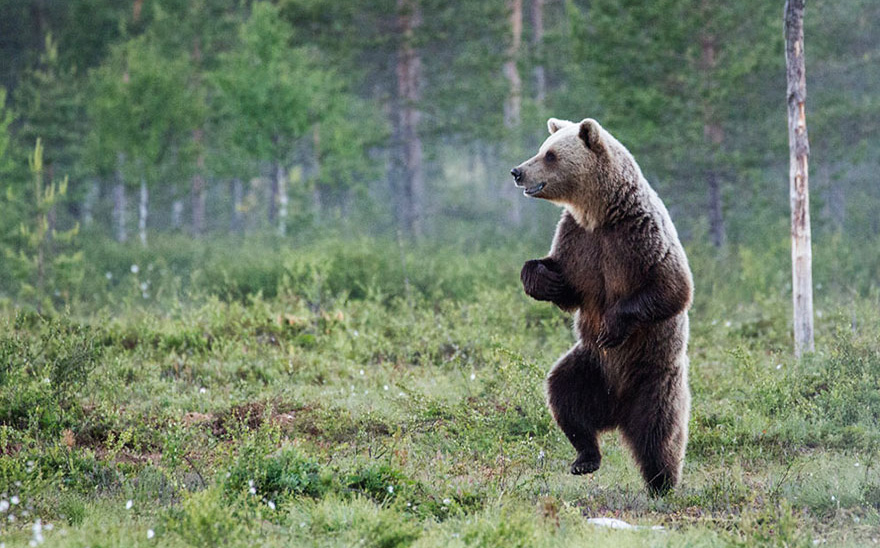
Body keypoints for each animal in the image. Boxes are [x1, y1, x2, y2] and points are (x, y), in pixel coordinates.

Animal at [508, 116, 696, 496]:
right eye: (542, 149)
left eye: (550, 155)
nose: (517, 171)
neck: (599, 213)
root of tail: (617, 411)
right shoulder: (577, 241)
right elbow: (567, 285)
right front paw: (542, 278)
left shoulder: (638, 236)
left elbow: (672, 287)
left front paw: (613, 325)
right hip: (590, 366)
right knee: (563, 395)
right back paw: (585, 458)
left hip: (654, 376)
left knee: (660, 432)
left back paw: (662, 483)